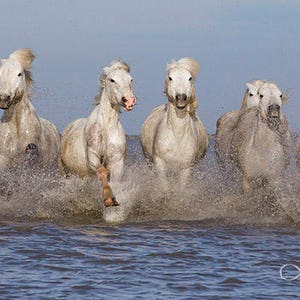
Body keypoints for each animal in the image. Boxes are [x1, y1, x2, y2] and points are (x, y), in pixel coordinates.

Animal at [59, 60, 137, 207]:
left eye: (131, 79)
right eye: (112, 80)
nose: (129, 100)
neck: (106, 129)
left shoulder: (117, 161)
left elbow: (114, 181)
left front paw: (114, 200)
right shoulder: (92, 155)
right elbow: (102, 171)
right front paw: (108, 199)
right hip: (64, 170)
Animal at [141, 56, 209, 185]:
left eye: (190, 78)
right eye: (170, 78)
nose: (181, 98)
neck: (177, 136)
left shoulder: (186, 169)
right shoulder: (160, 165)